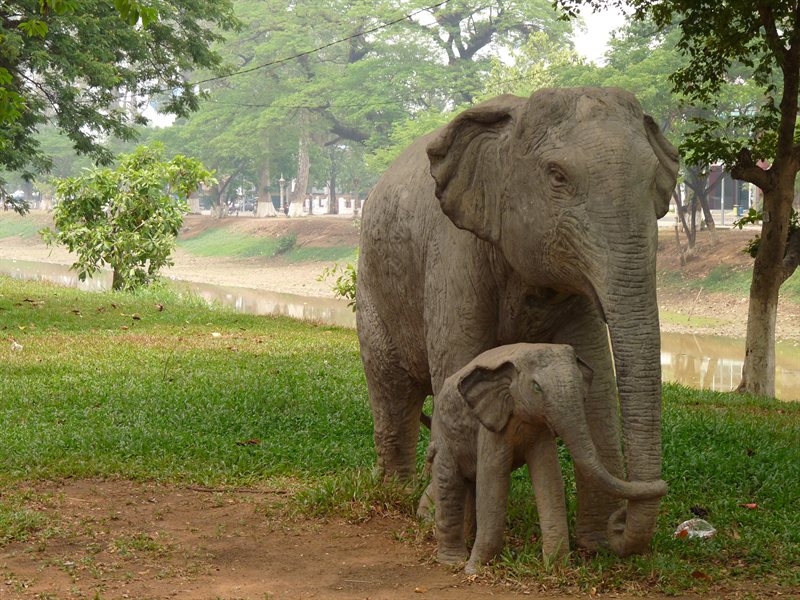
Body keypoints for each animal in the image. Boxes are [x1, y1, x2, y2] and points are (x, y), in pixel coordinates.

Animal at [428, 343, 668, 573]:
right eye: (536, 388)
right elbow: (493, 480)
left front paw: (558, 568)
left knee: (470, 484)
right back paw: (453, 561)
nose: (664, 485)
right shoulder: (492, 424)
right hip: (443, 435)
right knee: (449, 483)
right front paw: (473, 570)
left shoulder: (539, 427)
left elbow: (549, 475)